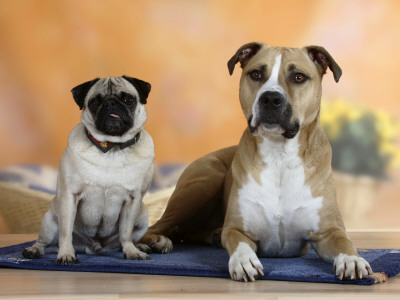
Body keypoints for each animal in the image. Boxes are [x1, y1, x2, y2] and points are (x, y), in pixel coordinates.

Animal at [22, 76, 155, 264]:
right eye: (94, 102)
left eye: (129, 100)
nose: (110, 104)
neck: (112, 147)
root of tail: (94, 247)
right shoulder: (70, 196)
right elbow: (66, 231)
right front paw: (66, 254)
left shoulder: (133, 200)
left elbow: (126, 232)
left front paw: (131, 251)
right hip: (49, 221)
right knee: (44, 241)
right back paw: (33, 250)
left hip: (142, 217)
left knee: (123, 240)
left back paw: (140, 246)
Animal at [142, 42, 376, 282]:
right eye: (256, 74)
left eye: (298, 77)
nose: (271, 98)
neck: (280, 155)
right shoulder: (237, 229)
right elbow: (239, 243)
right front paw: (244, 261)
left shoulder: (329, 231)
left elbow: (344, 241)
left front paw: (352, 259)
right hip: (203, 183)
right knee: (156, 227)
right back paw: (157, 241)